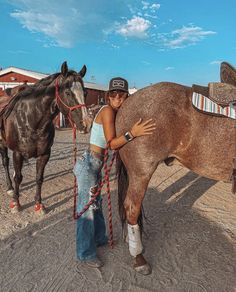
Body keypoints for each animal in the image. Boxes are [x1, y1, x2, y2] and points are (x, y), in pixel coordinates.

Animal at [0, 61, 91, 213]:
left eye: (85, 93)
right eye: (67, 92)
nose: (86, 124)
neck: (30, 119)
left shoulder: (44, 154)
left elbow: (39, 178)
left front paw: (39, 204)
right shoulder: (18, 153)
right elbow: (18, 177)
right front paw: (16, 203)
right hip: (2, 144)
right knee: (6, 163)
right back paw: (10, 188)